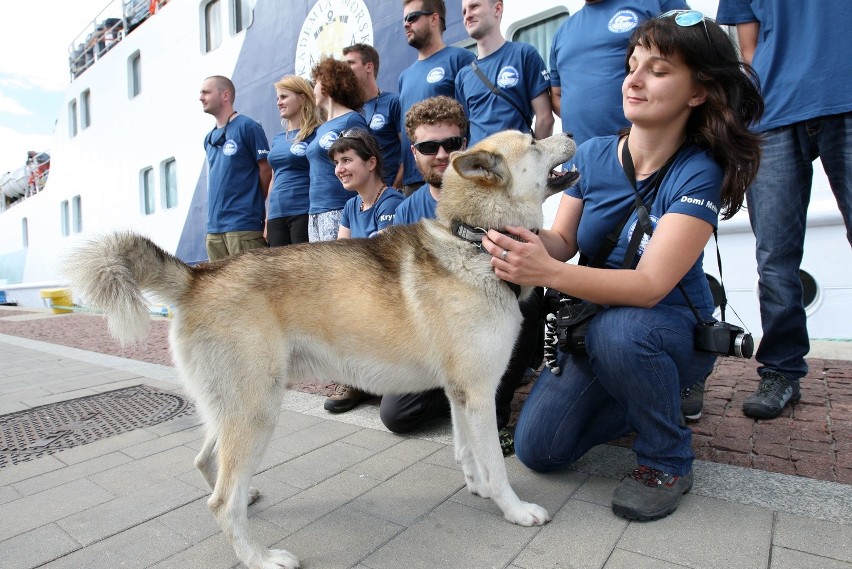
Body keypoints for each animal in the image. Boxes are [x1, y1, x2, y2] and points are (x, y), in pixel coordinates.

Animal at [63, 131, 576, 564]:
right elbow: (496, 464)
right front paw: (514, 509)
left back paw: (249, 499)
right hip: (258, 409)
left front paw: (478, 488)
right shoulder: (478, 392)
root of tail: (198, 275)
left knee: (209, 462)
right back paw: (260, 557)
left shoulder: (460, 393)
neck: (474, 239)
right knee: (221, 502)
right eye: (533, 140)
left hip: (234, 407)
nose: (571, 132)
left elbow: (468, 452)